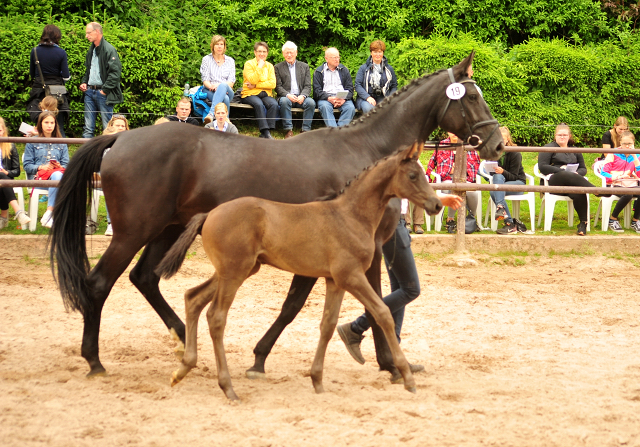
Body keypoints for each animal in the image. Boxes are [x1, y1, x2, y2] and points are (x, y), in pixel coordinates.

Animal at [158, 142, 442, 400]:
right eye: (413, 175)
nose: (437, 204)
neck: (349, 216)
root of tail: (208, 214)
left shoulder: (334, 281)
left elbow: (328, 324)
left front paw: (317, 380)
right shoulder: (351, 276)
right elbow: (382, 313)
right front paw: (407, 377)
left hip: (237, 270)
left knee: (193, 298)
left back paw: (182, 369)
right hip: (234, 272)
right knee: (216, 317)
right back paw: (227, 387)